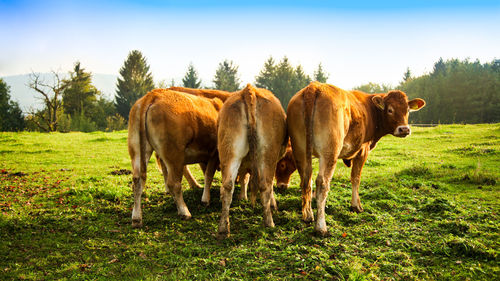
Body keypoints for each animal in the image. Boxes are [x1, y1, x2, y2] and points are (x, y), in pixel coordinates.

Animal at [128, 88, 226, 226]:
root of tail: (153, 94)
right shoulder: (214, 153)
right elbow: (208, 175)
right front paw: (205, 199)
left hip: (137, 151)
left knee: (138, 181)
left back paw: (136, 218)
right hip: (174, 155)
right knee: (174, 183)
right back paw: (184, 212)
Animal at [217, 84, 288, 237]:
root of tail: (249, 90)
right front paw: (273, 204)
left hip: (230, 150)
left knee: (227, 186)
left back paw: (223, 229)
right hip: (267, 154)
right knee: (265, 185)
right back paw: (269, 223)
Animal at [288, 81, 424, 234]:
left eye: (408, 110)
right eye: (390, 110)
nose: (404, 129)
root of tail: (315, 86)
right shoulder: (363, 150)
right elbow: (356, 178)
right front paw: (356, 206)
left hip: (300, 150)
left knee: (306, 179)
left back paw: (308, 215)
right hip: (330, 152)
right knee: (322, 183)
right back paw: (321, 227)